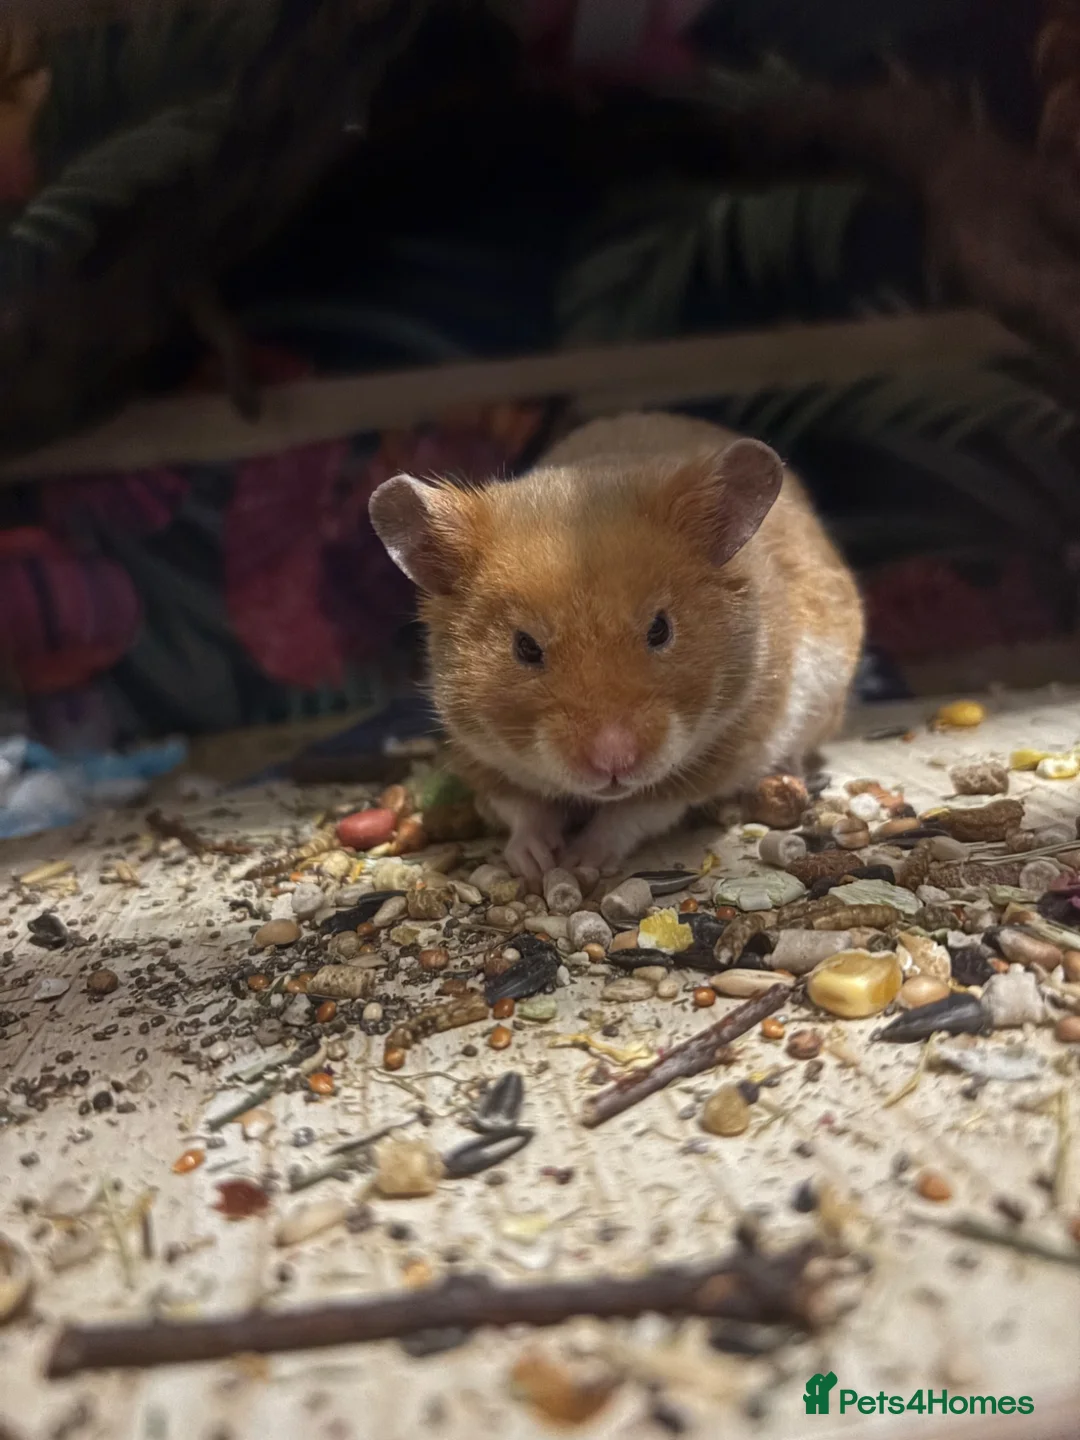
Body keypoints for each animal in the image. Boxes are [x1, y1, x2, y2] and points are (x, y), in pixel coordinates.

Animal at [369, 411, 863, 881]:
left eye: (660, 629)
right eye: (525, 646)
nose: (613, 761)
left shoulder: (728, 744)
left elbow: (635, 811)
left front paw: (582, 861)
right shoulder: (475, 751)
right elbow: (522, 809)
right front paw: (535, 862)